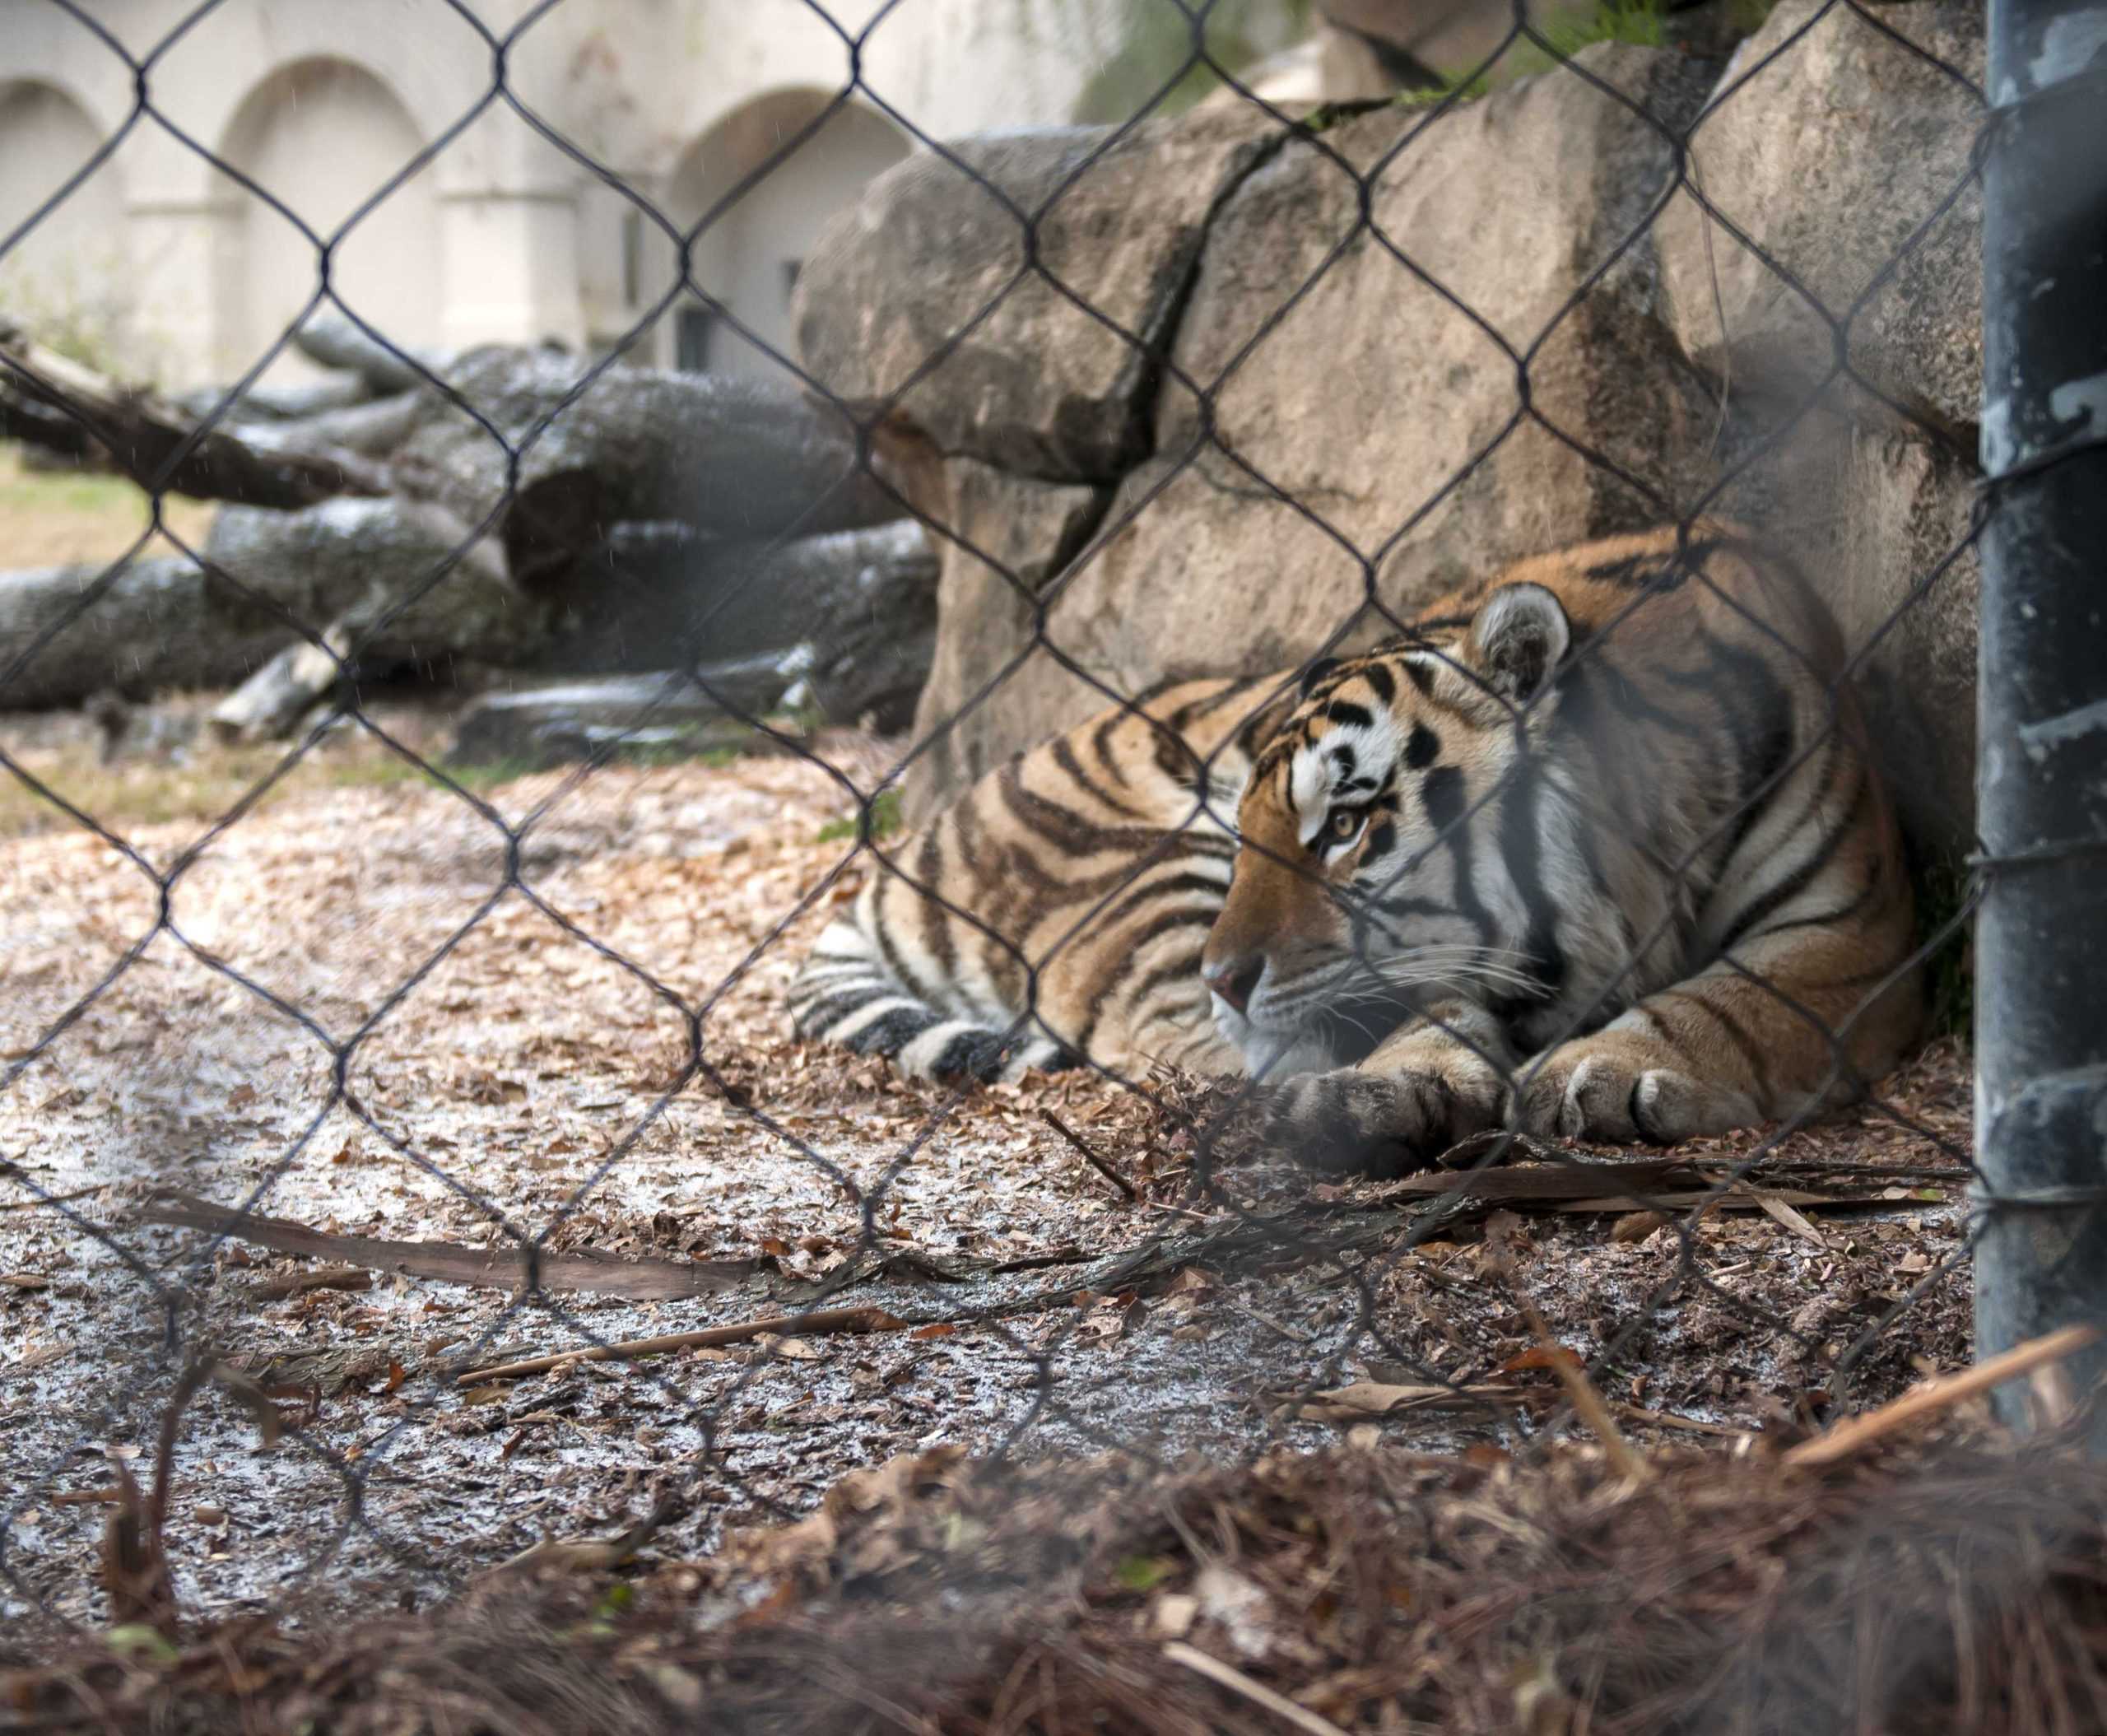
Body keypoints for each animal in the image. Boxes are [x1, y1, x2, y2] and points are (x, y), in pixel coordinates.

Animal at [784, 528, 1921, 1171]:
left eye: (1344, 824)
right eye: (1251, 828)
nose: (1226, 980)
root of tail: (914, 846)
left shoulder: (1851, 930)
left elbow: (1729, 1001)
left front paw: (1610, 1066)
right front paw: (1398, 1083)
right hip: (1147, 873)